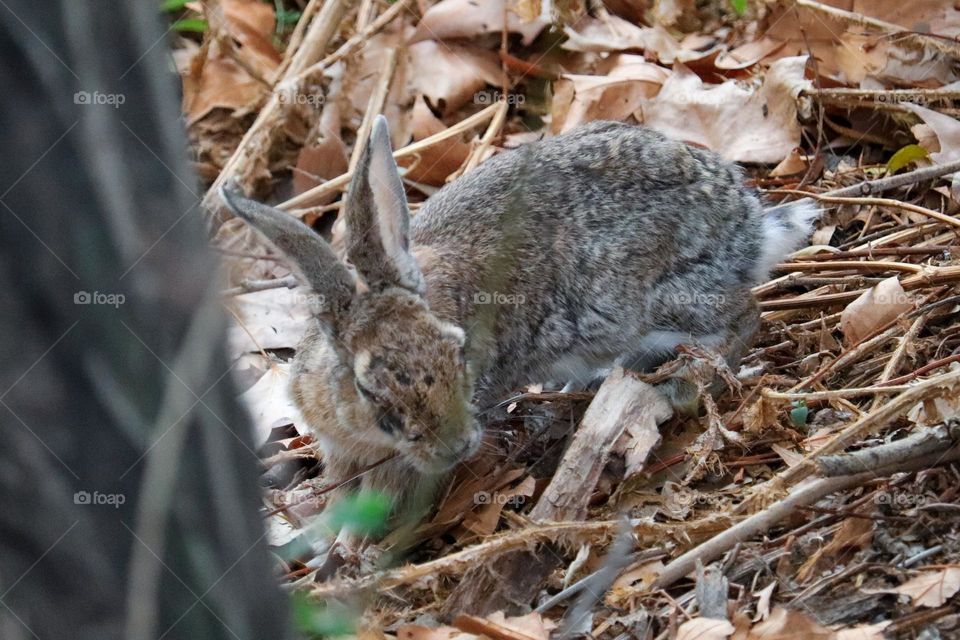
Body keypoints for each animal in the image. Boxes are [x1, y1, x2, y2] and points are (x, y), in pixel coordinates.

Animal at [219, 116, 816, 536]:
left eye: (457, 352)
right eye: (368, 387)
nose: (458, 446)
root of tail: (750, 229)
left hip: (657, 304)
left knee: (743, 315)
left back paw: (684, 384)